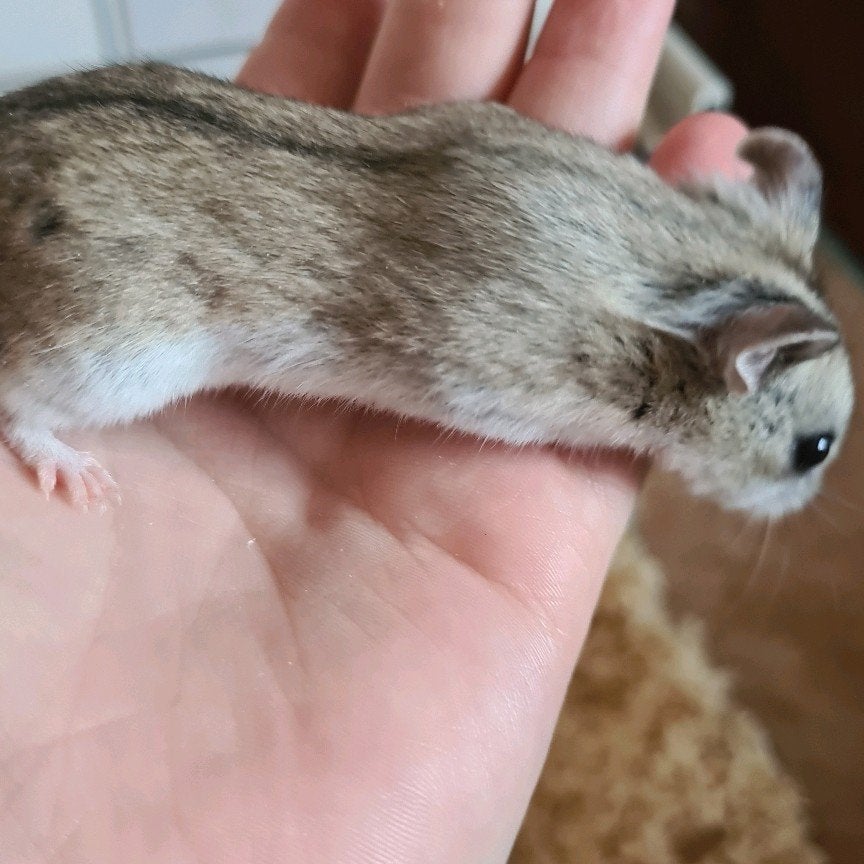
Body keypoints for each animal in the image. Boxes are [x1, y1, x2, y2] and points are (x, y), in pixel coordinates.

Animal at [0, 63, 854, 516]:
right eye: (815, 450)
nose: (799, 508)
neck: (680, 257)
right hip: (104, 362)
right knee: (19, 409)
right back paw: (81, 480)